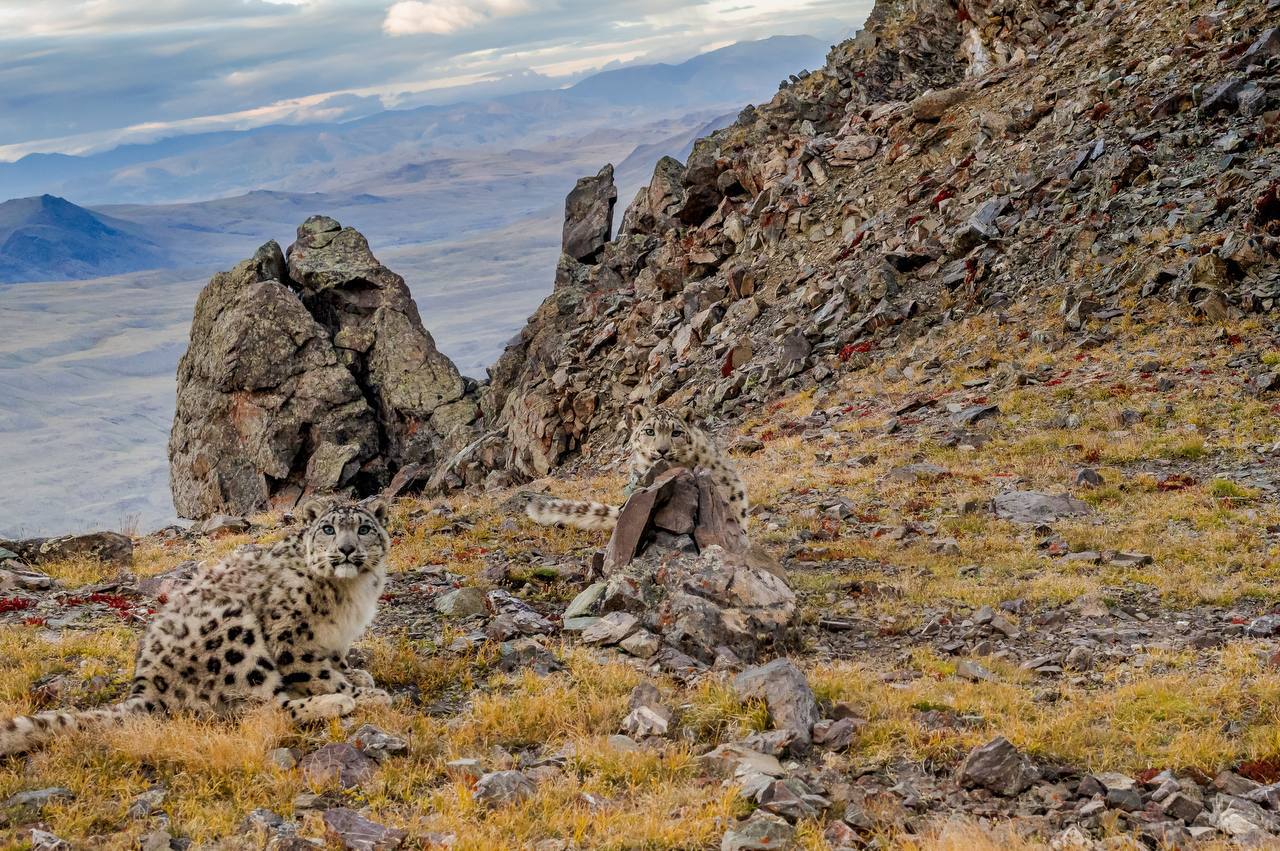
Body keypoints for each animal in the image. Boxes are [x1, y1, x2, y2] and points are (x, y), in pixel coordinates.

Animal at [0, 493, 391, 752]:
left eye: (364, 529)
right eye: (328, 529)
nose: (346, 550)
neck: (351, 594)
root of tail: (144, 689)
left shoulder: (337, 638)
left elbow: (337, 662)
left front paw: (358, 674)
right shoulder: (291, 638)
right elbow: (319, 673)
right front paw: (360, 693)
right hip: (237, 636)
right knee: (264, 709)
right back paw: (336, 704)